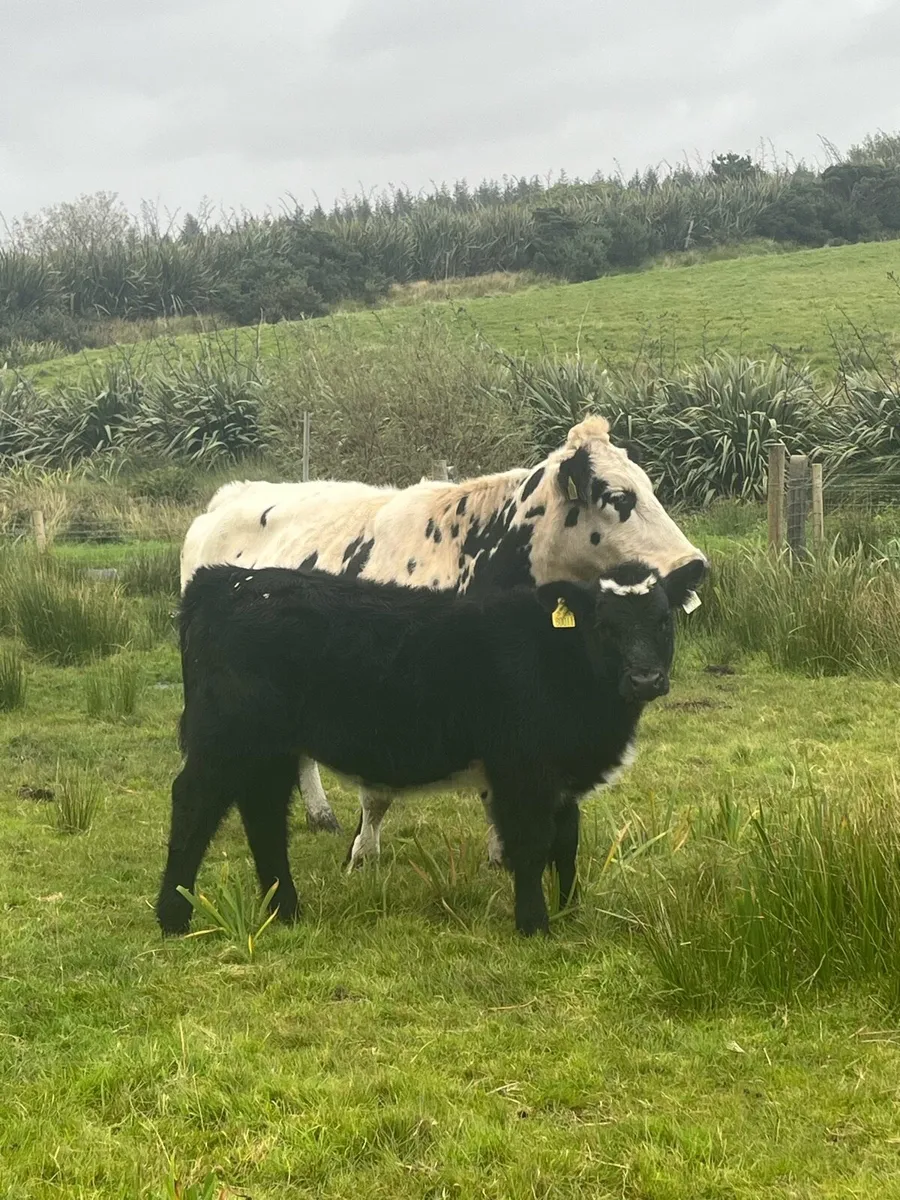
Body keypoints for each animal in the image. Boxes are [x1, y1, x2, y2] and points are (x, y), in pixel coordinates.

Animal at [157, 557, 702, 938]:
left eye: (664, 621)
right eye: (604, 625)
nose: (646, 678)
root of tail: (230, 580)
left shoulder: (561, 777)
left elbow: (565, 846)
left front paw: (570, 912)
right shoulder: (521, 771)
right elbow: (531, 846)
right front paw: (535, 925)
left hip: (269, 746)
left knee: (264, 814)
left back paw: (284, 909)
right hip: (225, 736)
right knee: (195, 803)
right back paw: (173, 917)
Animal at [179, 415, 708, 863]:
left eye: (650, 487)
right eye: (619, 497)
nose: (694, 566)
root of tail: (231, 496)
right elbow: (376, 793)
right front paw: (363, 854)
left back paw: (319, 814)